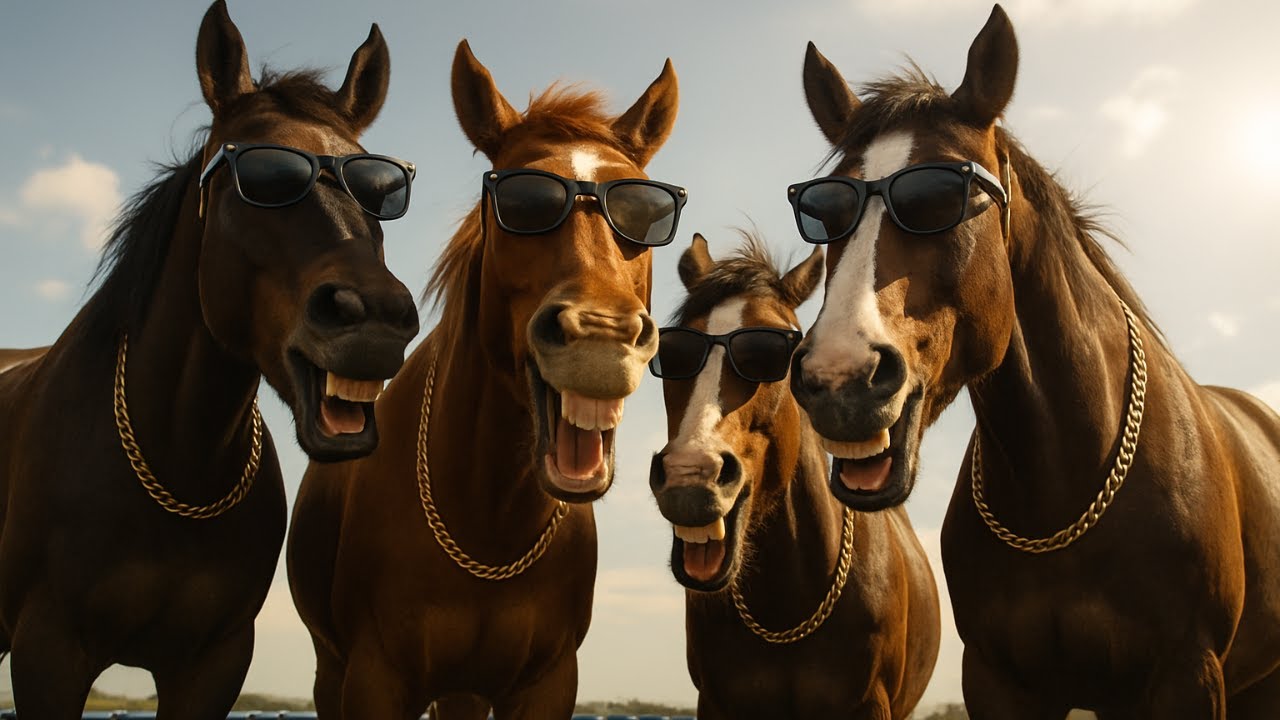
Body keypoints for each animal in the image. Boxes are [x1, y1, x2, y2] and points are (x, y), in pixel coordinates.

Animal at [0, 2, 418, 716]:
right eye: (265, 178)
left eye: (379, 187)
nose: (377, 320)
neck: (173, 466)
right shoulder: (48, 651)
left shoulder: (213, 664)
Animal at [287, 40, 681, 719]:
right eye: (521, 204)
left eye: (645, 211)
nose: (600, 335)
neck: (489, 526)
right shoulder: (375, 677)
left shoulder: (548, 682)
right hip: (332, 670)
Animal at [787, 4, 1280, 717]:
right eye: (824, 213)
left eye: (942, 198)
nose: (838, 379)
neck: (1066, 487)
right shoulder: (998, 681)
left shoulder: (1186, 676)